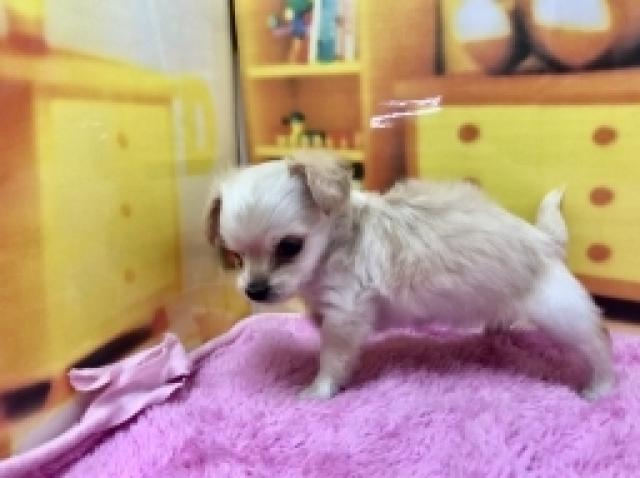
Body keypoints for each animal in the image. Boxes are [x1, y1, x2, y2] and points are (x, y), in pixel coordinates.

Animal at [206, 151, 615, 401]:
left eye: (290, 247)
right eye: (235, 255)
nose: (255, 291)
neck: (339, 243)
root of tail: (543, 239)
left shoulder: (345, 314)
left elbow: (333, 358)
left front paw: (318, 391)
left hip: (562, 314)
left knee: (599, 345)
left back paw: (601, 387)